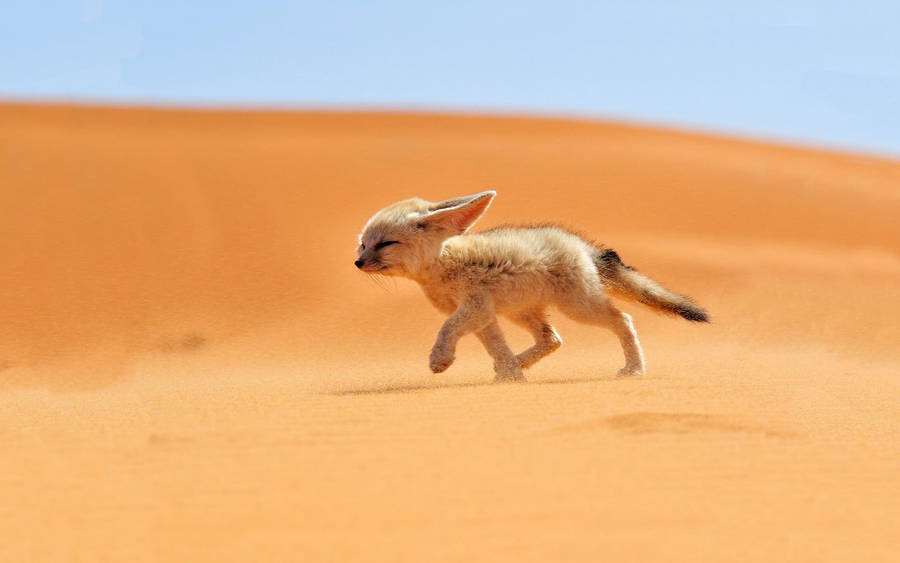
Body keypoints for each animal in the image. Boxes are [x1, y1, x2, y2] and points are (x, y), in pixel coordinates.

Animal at [354, 191, 712, 384]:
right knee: (552, 339)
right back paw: (517, 364)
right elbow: (496, 347)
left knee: (622, 319)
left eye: (385, 244)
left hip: (579, 307)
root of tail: (581, 244)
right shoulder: (484, 314)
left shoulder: (474, 307)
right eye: (363, 244)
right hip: (522, 312)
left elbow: (447, 328)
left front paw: (440, 359)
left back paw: (635, 369)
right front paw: (511, 376)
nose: (358, 263)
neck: (443, 264)